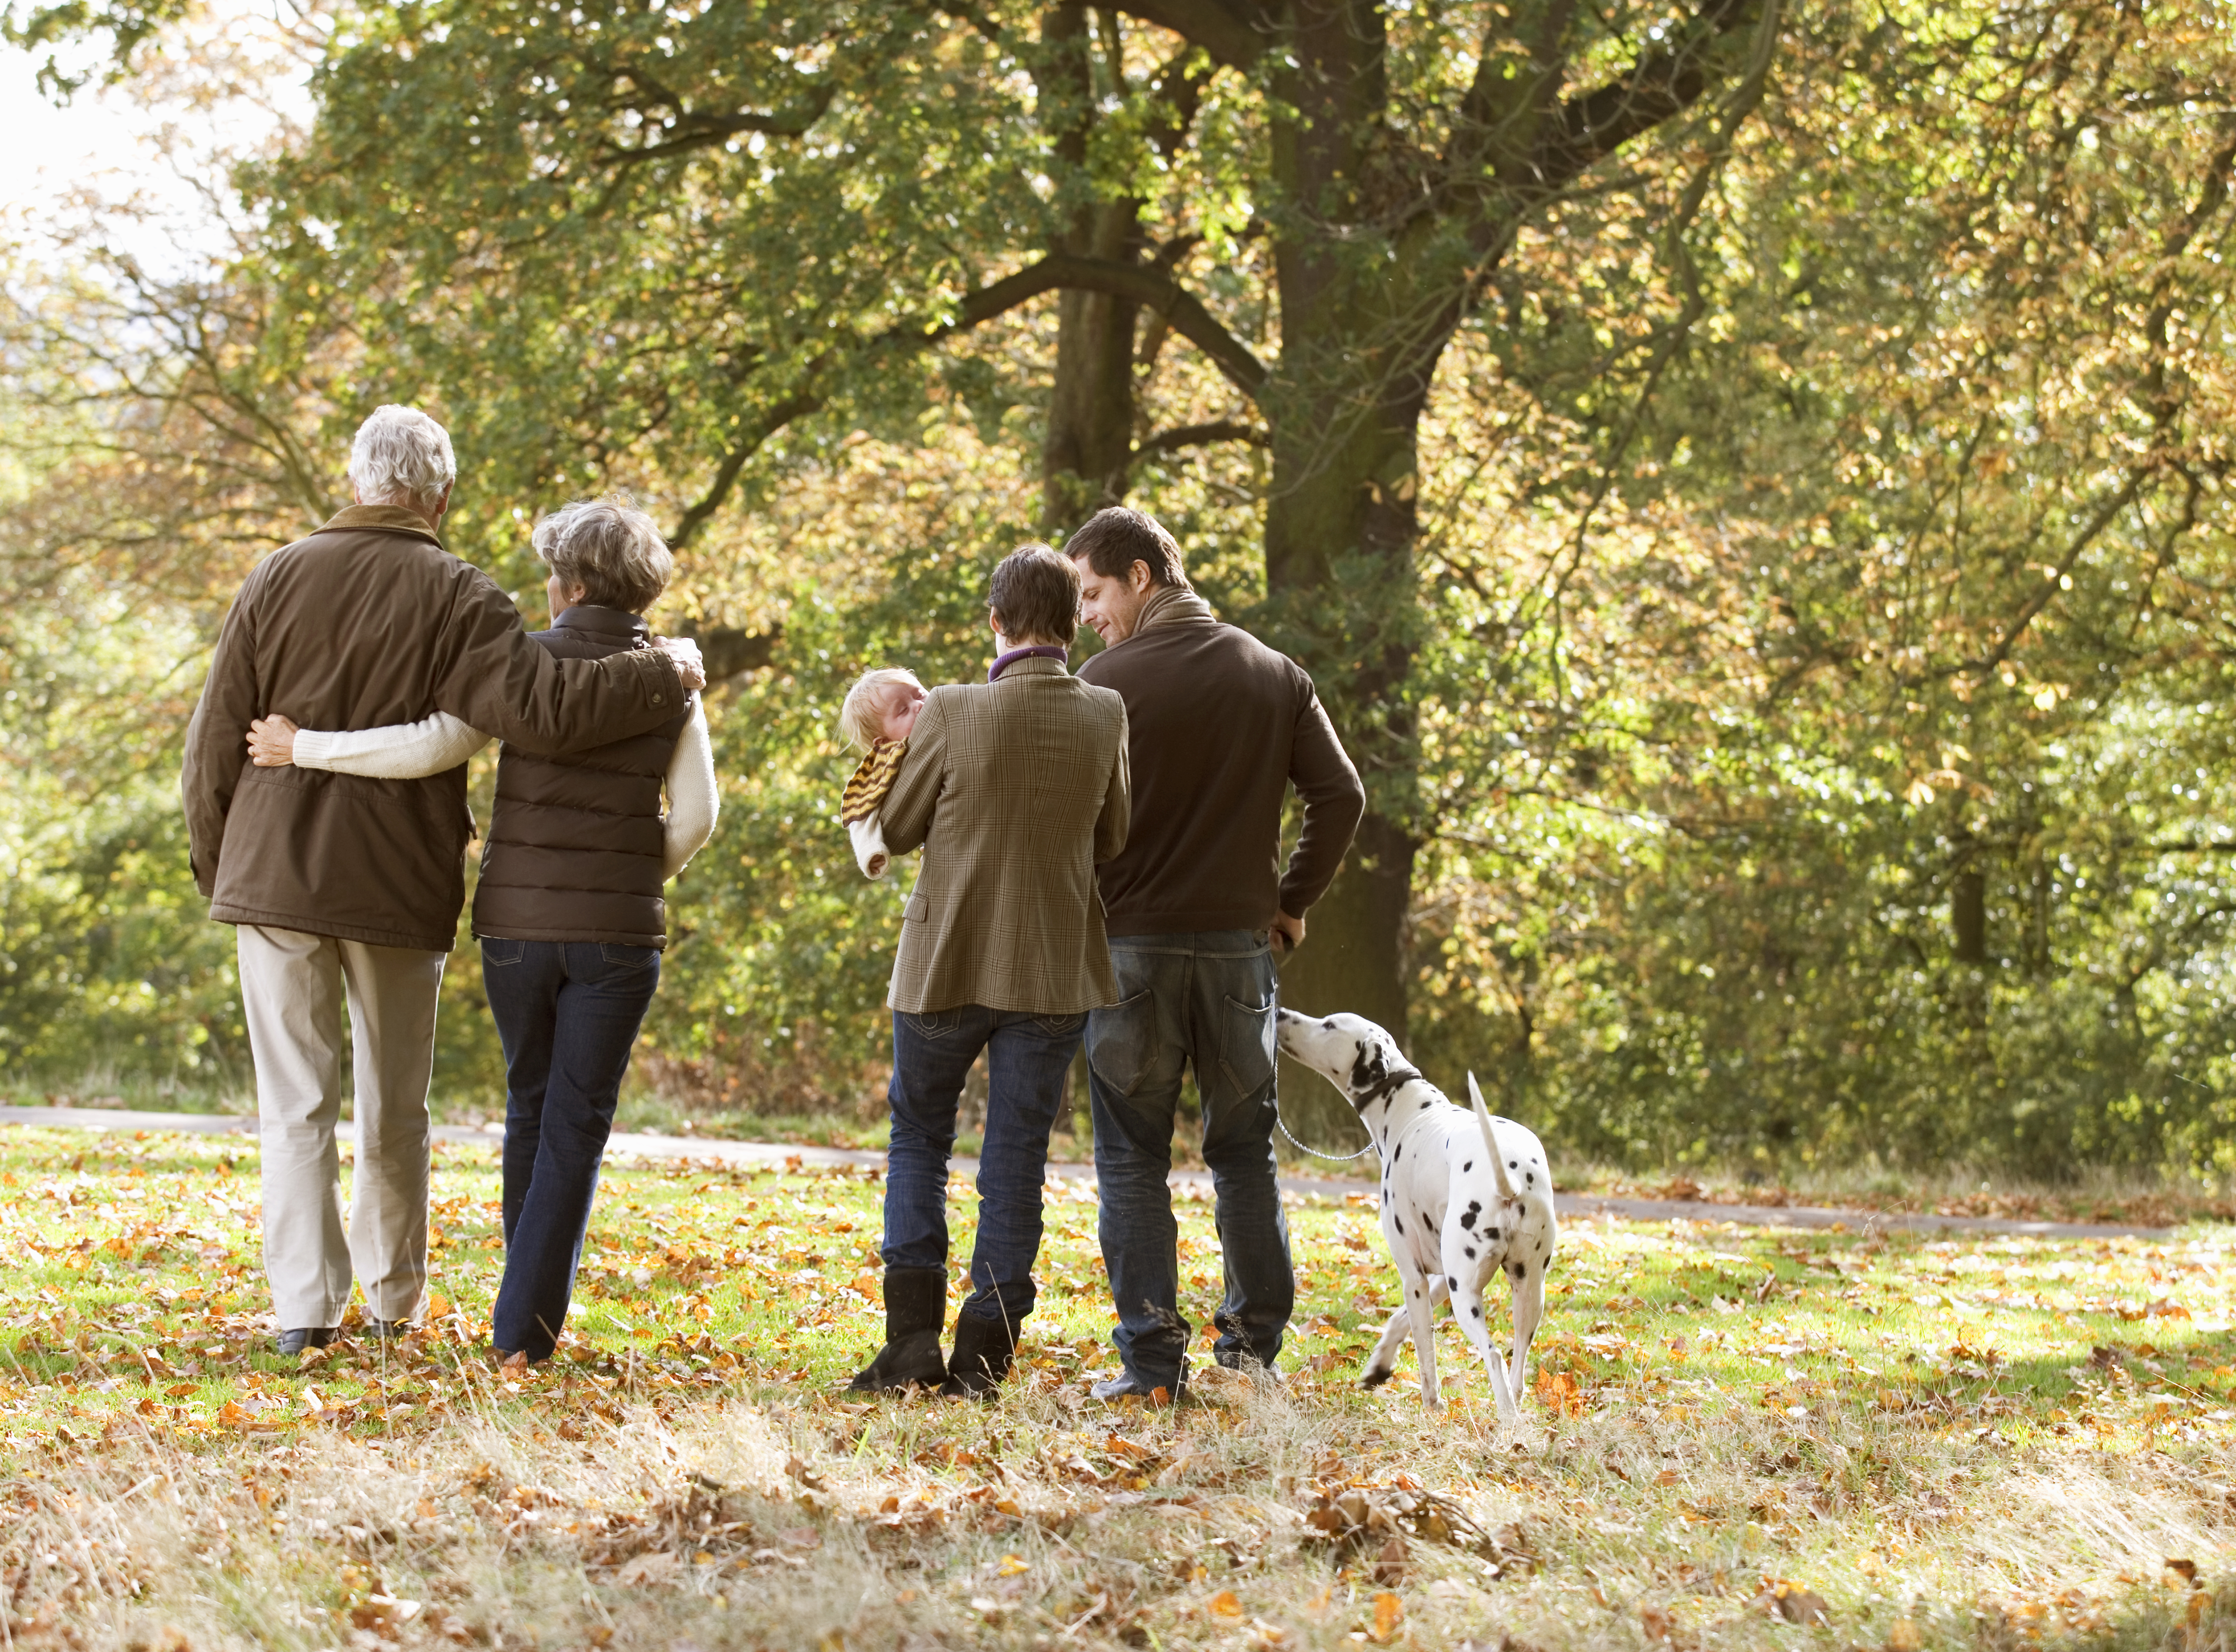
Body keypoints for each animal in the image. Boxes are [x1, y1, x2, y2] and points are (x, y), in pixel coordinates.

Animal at [1279, 1006, 1556, 1421]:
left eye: (1329, 1024)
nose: (1279, 1012)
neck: (1409, 1110)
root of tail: (1508, 1182)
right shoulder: (1437, 1277)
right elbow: (1399, 1321)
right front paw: (1378, 1367)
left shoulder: (1413, 1276)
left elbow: (1425, 1348)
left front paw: (1431, 1405)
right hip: (1527, 1294)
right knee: (1518, 1366)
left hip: (1466, 1298)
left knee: (1493, 1357)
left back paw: (1505, 1420)